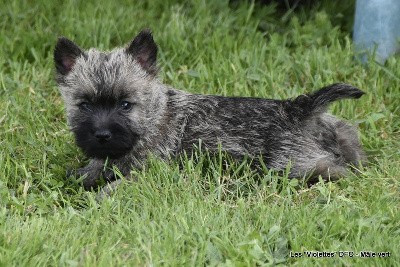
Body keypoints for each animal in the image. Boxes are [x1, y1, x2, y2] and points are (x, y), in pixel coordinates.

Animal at [54, 29, 366, 189]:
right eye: (84, 105)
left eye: (125, 105)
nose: (101, 135)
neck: (154, 117)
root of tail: (299, 108)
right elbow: (93, 168)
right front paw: (82, 175)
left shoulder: (148, 172)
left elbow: (117, 185)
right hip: (339, 131)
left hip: (291, 166)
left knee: (329, 170)